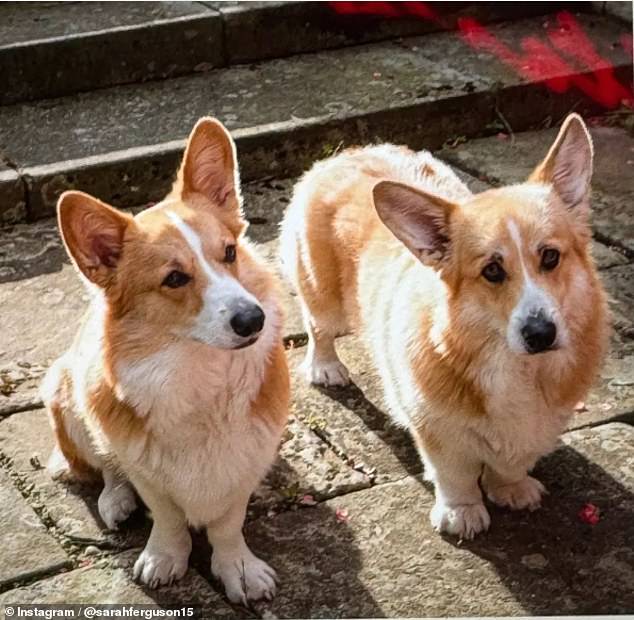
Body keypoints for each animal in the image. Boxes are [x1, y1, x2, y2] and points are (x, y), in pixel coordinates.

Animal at [43, 116, 290, 600]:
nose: (253, 319)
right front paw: (165, 559)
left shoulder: (246, 463)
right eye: (175, 278)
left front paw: (238, 569)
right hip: (69, 396)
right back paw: (116, 502)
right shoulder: (146, 471)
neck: (198, 372)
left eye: (230, 252)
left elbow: (228, 523)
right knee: (105, 468)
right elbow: (168, 516)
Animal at [282, 115, 608, 536]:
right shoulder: (436, 427)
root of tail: (345, 153)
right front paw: (462, 514)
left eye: (551, 257)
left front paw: (512, 489)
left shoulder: (538, 427)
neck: (518, 369)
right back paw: (326, 367)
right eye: (492, 271)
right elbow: (454, 473)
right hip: (323, 296)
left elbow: (512, 464)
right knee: (317, 326)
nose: (541, 334)